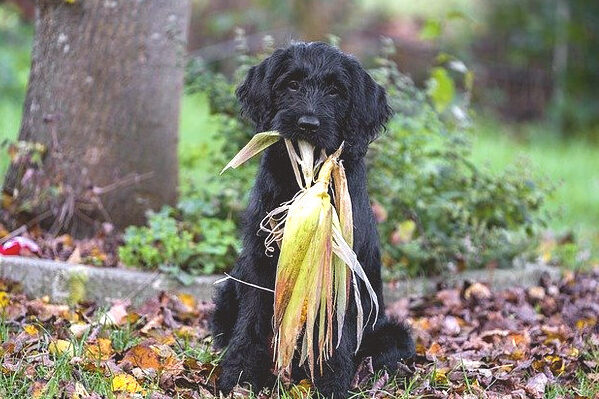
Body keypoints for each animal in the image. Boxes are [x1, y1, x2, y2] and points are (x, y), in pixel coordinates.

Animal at [213, 42, 414, 398]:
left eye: (335, 90)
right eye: (292, 84)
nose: (308, 123)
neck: (306, 180)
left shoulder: (342, 273)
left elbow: (335, 333)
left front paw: (331, 382)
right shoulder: (259, 264)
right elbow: (250, 323)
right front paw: (239, 376)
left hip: (393, 332)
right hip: (227, 292)